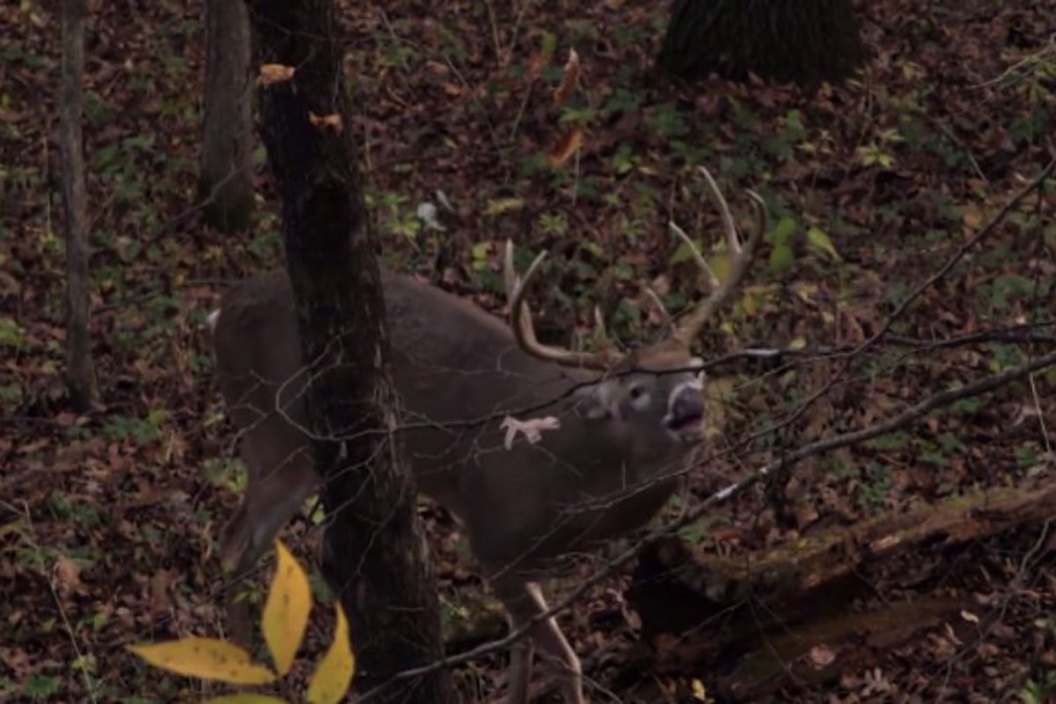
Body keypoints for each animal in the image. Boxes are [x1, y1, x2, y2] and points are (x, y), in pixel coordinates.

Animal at [207, 167, 765, 704]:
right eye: (635, 391)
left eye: (697, 370)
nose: (689, 407)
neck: (576, 486)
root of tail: (220, 311)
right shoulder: (492, 537)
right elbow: (564, 659)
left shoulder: (530, 566)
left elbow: (520, 645)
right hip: (274, 432)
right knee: (233, 544)